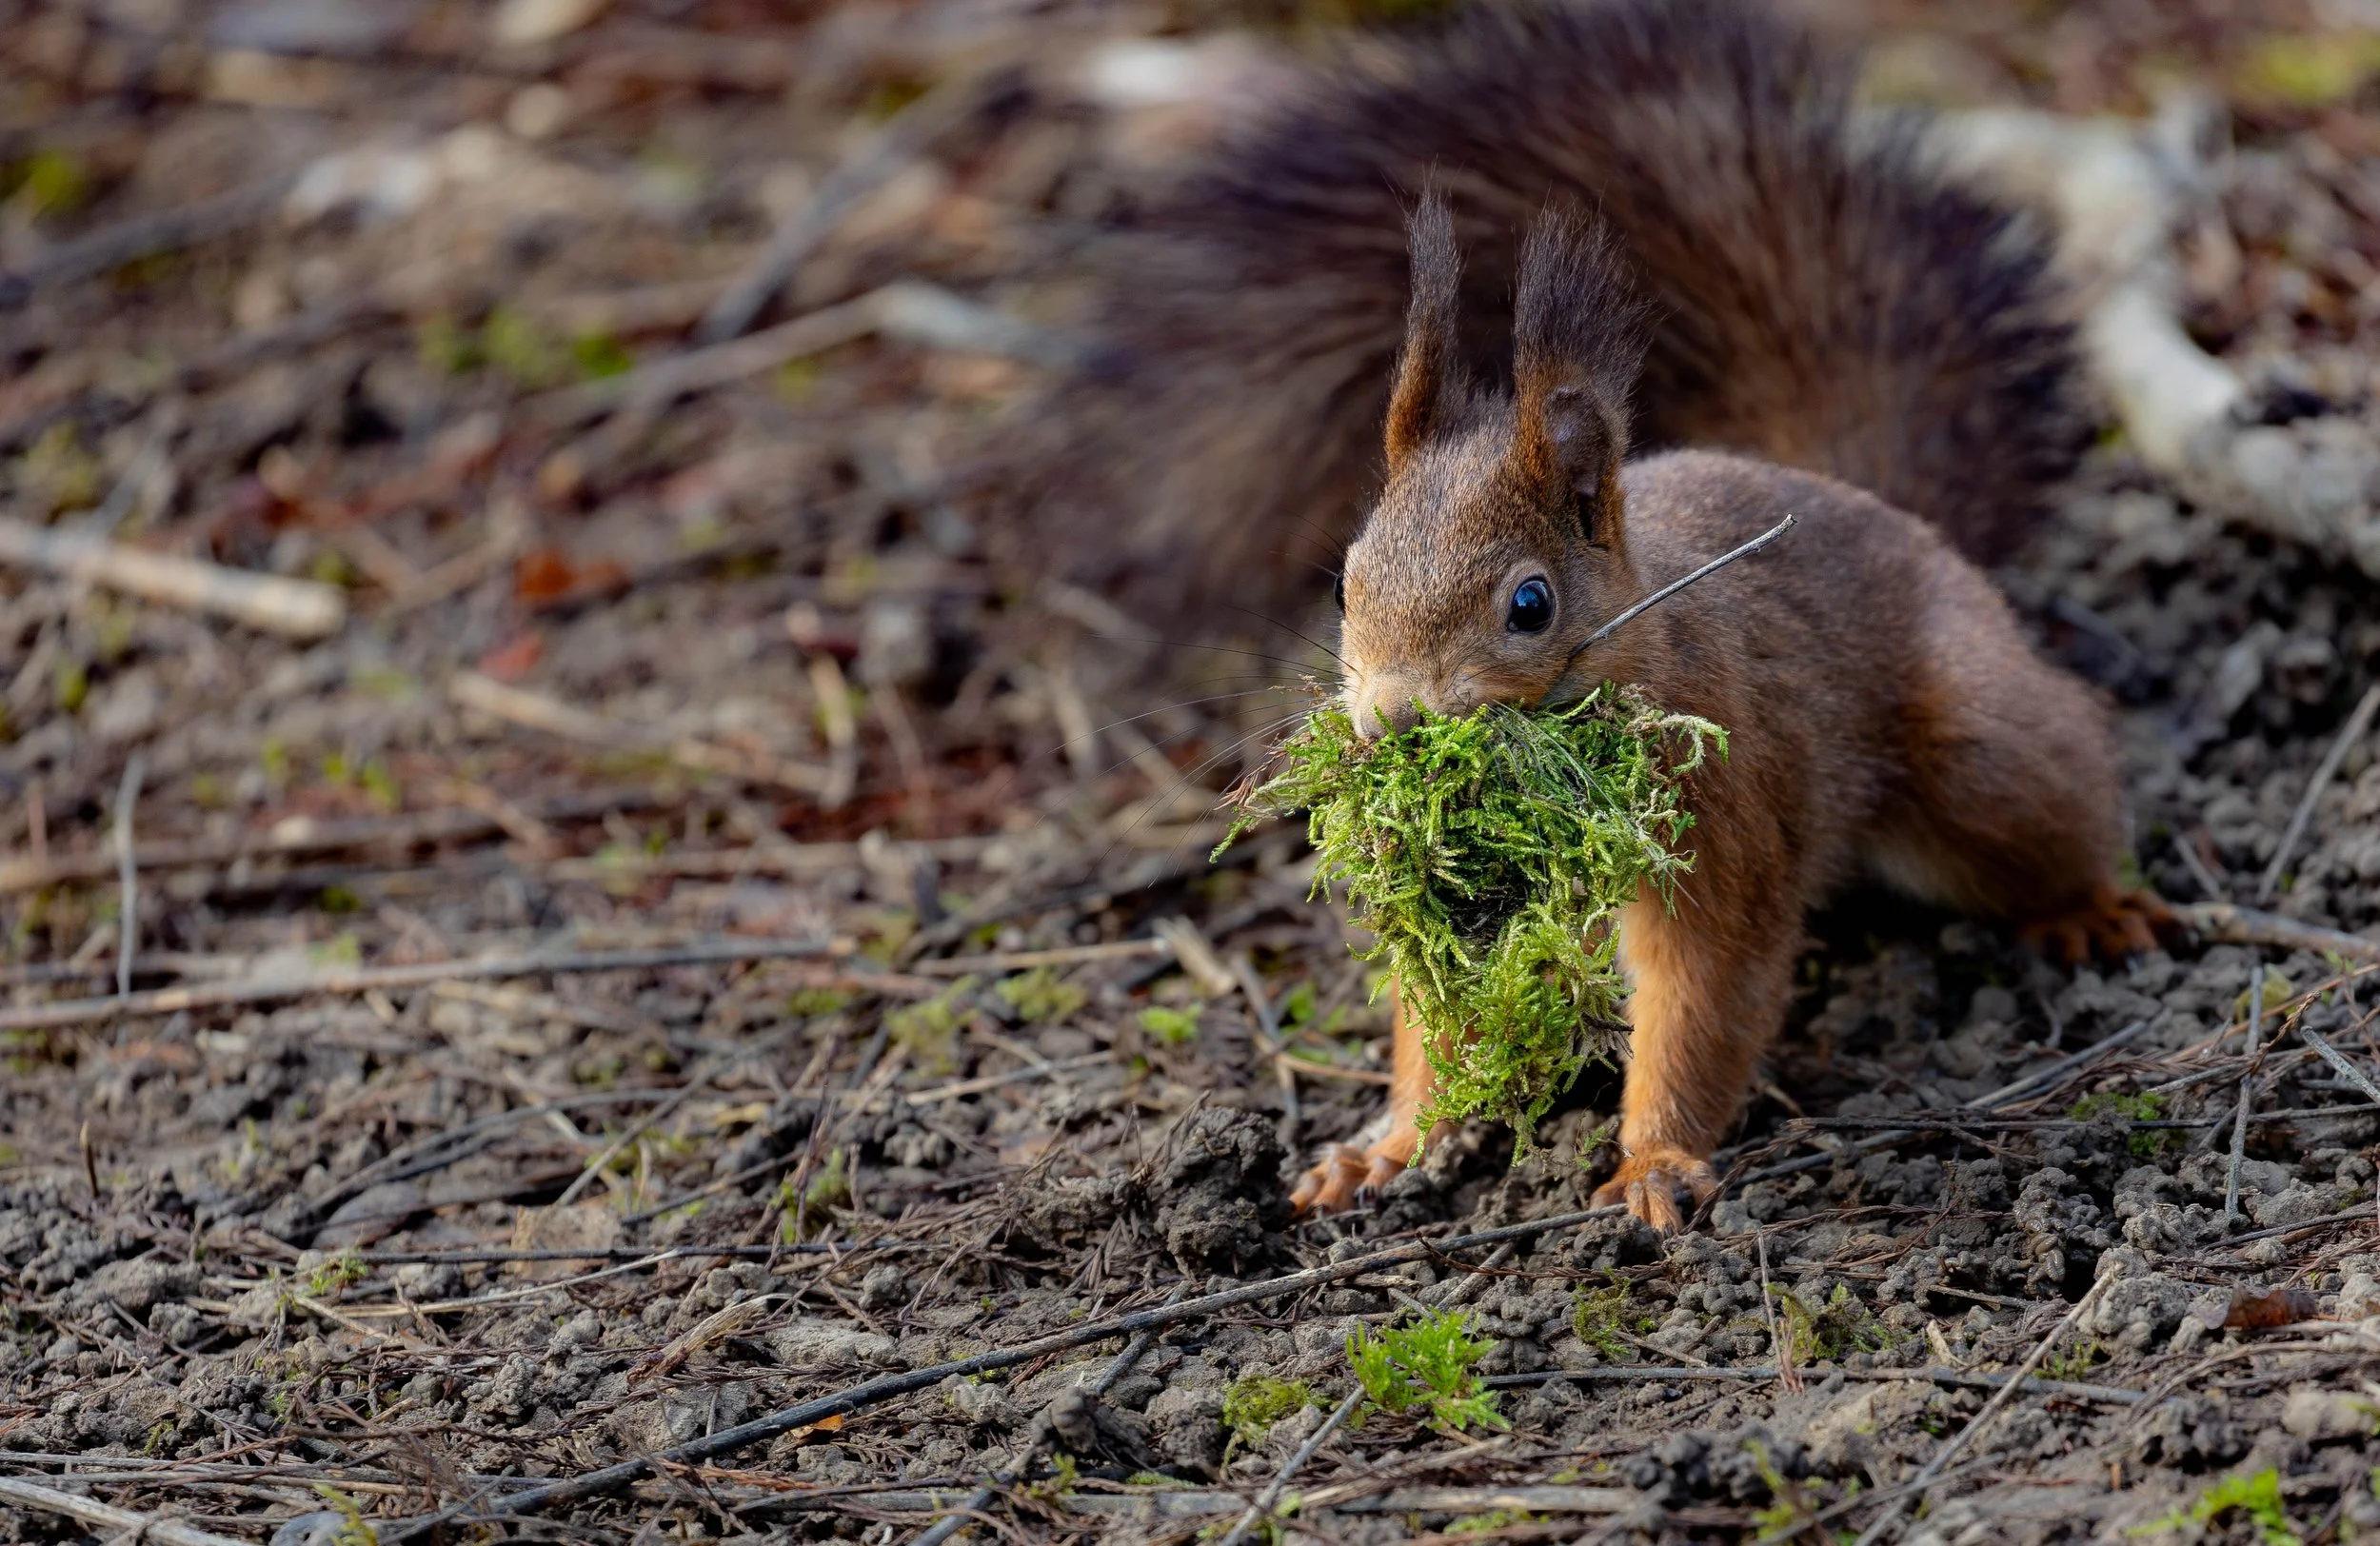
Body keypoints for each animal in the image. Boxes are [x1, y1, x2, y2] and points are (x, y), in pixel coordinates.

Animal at [1037, 0, 2180, 1229]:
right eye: (1343, 583)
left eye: (1529, 604)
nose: (1391, 722)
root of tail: (1878, 506)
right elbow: (1433, 1014)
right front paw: (1387, 1144)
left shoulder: (1723, 815)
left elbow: (1702, 997)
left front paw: (1653, 1161)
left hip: (1976, 743)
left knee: (2048, 799)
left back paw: (2090, 907)